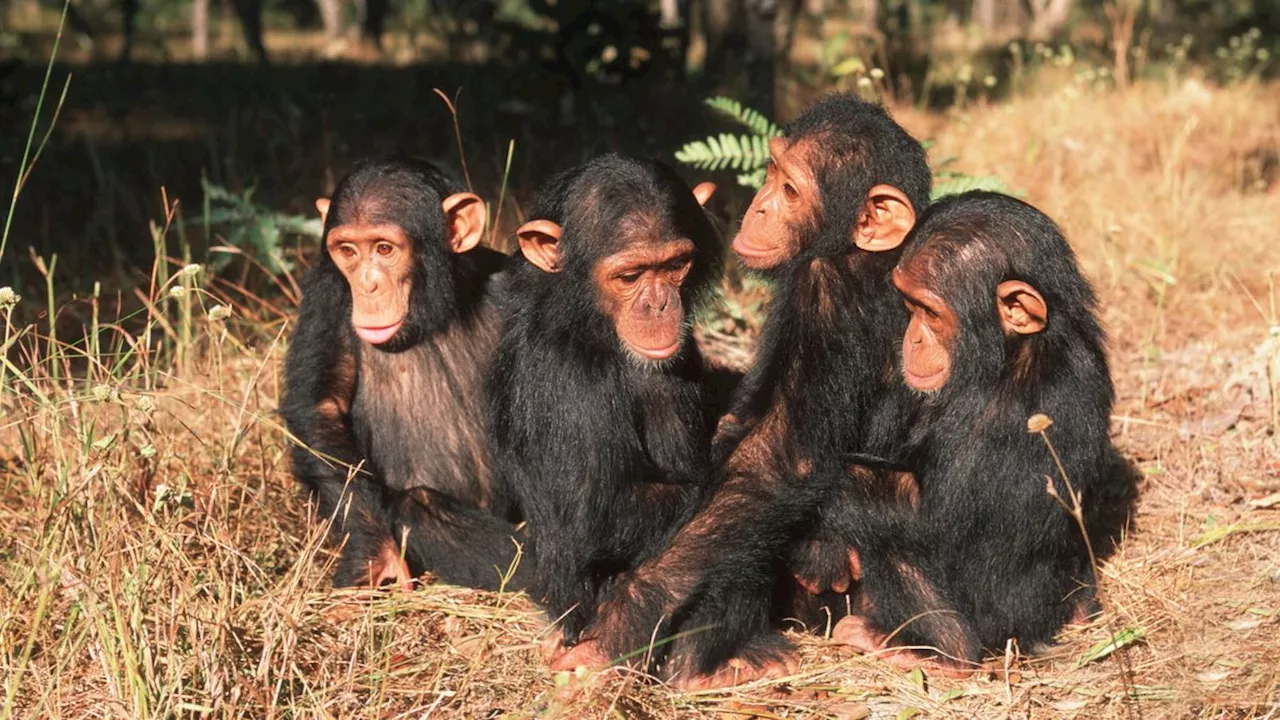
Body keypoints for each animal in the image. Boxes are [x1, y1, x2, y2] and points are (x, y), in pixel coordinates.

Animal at [279, 155, 524, 589]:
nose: (367, 285)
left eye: (384, 248)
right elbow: (320, 405)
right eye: (347, 251)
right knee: (417, 506)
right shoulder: (326, 295)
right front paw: (373, 554)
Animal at [488, 154, 727, 648]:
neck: (588, 321)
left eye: (676, 264)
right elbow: (596, 514)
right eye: (630, 276)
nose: (659, 305)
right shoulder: (568, 378)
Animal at [555, 92, 936, 681]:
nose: (758, 206)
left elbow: (778, 459)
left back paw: (702, 667)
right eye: (771, 170)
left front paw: (628, 617)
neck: (859, 252)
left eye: (791, 190)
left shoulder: (822, 290)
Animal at [829, 189, 1141, 666]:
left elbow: (941, 528)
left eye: (929, 312)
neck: (1013, 352)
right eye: (908, 306)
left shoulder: (1009, 412)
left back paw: (942, 650)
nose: (911, 338)